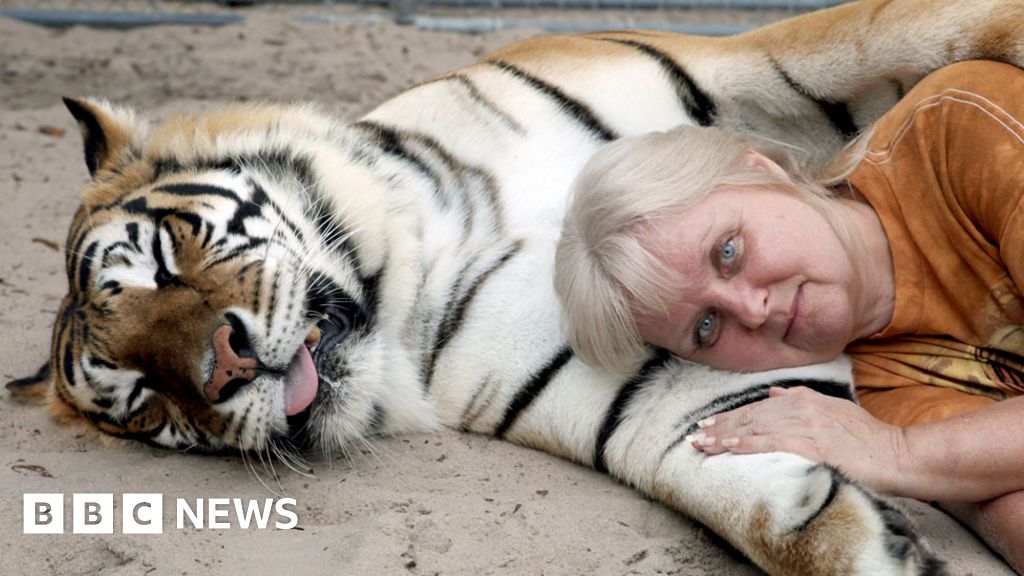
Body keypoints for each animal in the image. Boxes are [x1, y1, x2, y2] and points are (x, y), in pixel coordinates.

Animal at [8, 0, 1024, 569]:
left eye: (166, 257)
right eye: (147, 404)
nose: (221, 370)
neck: (418, 258)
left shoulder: (754, 58)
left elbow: (937, 26)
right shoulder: (628, 378)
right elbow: (719, 461)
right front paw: (872, 544)